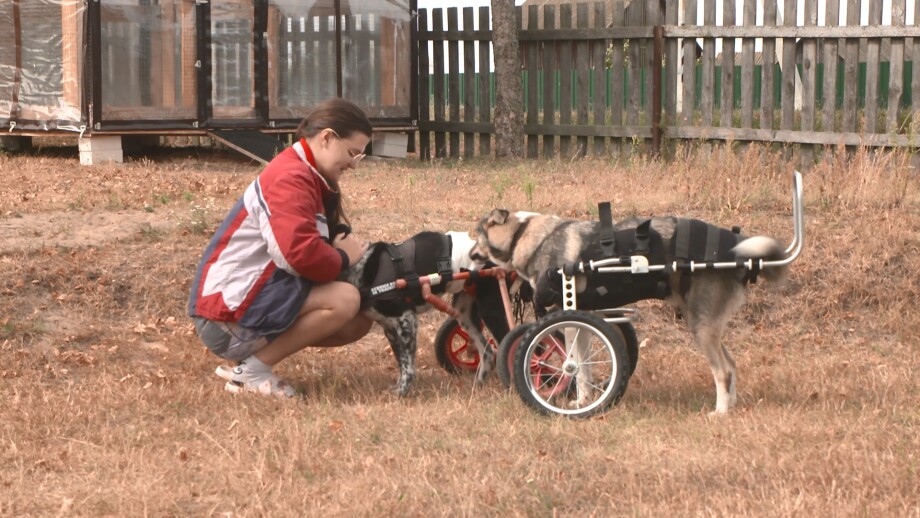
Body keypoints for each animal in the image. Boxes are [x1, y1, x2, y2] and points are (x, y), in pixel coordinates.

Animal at [474, 209, 792, 416]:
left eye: (475, 235)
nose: (470, 251)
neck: (524, 235)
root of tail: (740, 252)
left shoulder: (567, 320)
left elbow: (573, 365)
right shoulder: (582, 322)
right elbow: (584, 371)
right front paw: (583, 402)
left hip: (701, 328)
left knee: (723, 371)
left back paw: (720, 412)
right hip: (703, 325)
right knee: (732, 365)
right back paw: (732, 406)